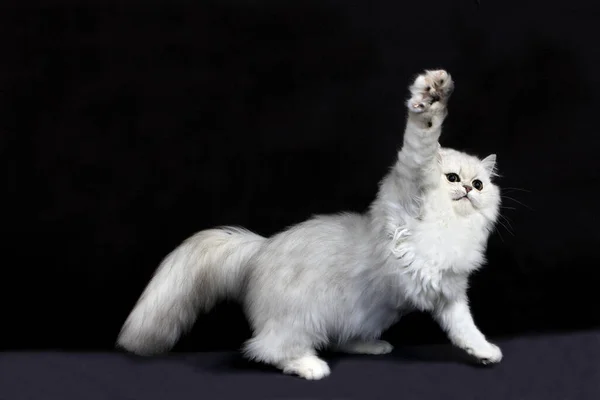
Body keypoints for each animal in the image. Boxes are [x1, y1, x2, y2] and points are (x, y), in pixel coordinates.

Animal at [116, 70, 502, 380]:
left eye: (479, 184)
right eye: (452, 178)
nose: (468, 190)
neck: (447, 225)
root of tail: (260, 249)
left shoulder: (448, 295)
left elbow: (466, 329)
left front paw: (484, 352)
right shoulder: (405, 195)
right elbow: (421, 141)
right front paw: (432, 96)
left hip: (365, 312)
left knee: (340, 338)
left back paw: (371, 346)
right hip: (300, 318)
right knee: (267, 349)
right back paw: (309, 367)